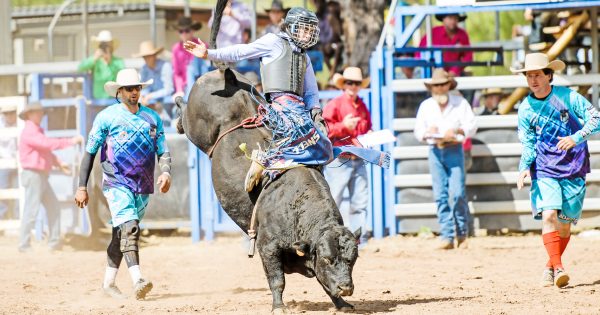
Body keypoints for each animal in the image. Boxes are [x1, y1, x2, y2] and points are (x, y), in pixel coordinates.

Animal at [176, 68, 358, 312]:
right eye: (328, 258)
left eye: (352, 259)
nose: (346, 287)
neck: (295, 206)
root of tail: (226, 75)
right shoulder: (268, 247)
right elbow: (277, 280)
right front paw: (279, 306)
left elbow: (324, 282)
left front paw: (342, 303)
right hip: (195, 128)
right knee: (183, 115)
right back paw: (177, 108)